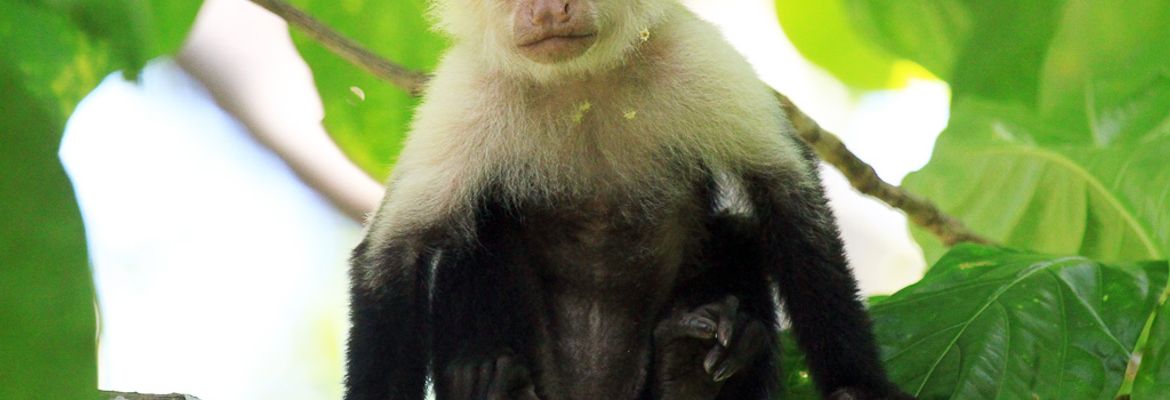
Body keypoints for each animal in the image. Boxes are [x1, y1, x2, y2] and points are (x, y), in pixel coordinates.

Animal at [344, 0, 914, 399]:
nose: (547, 8)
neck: (580, 79)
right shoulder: (466, 90)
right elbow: (394, 253)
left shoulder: (697, 55)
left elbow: (788, 196)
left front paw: (860, 387)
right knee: (479, 233)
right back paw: (484, 380)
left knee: (736, 234)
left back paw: (689, 370)